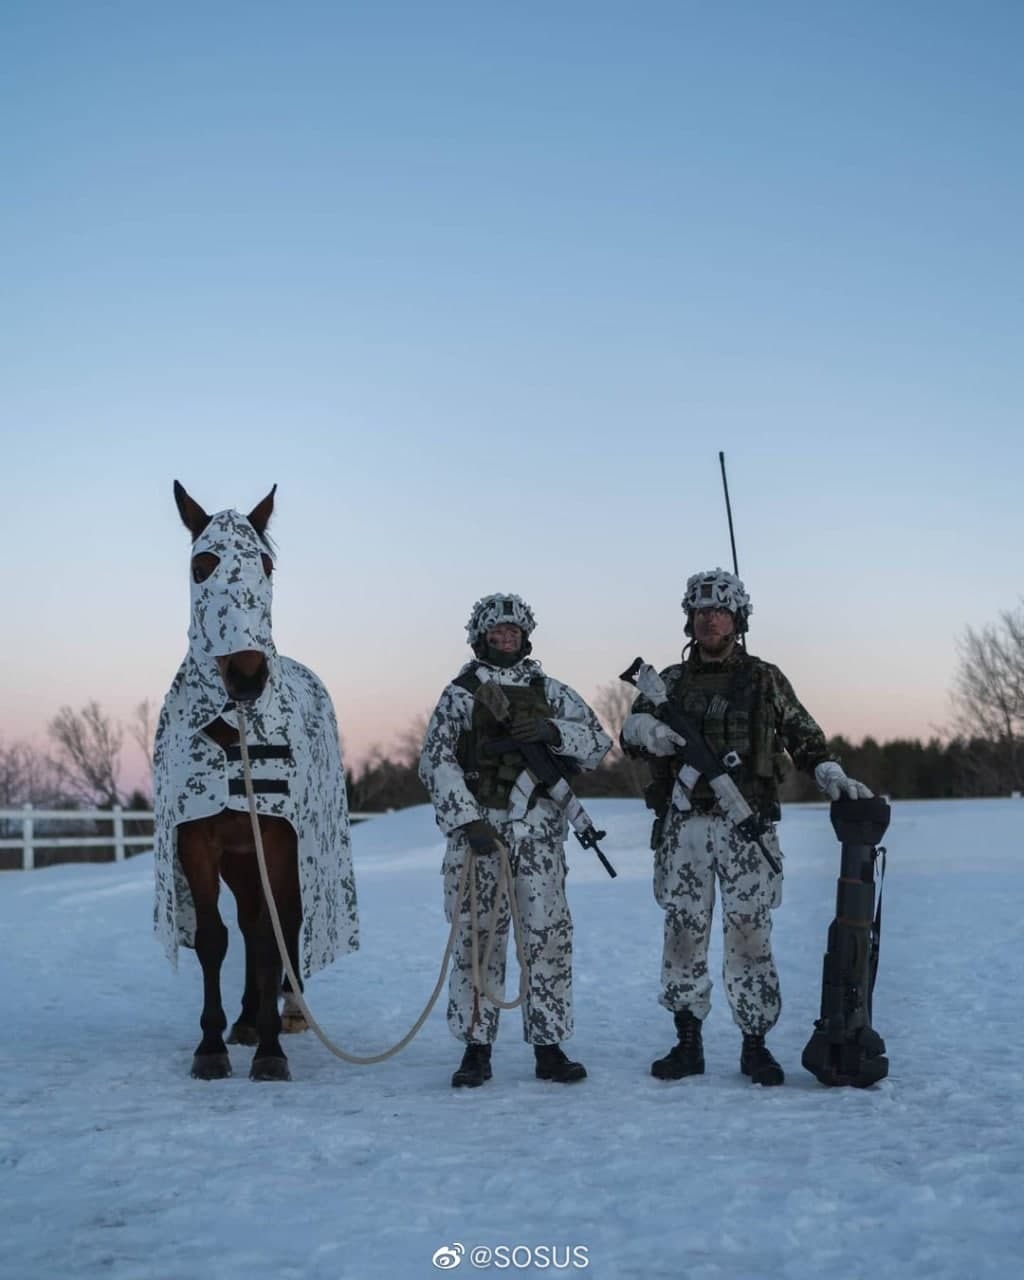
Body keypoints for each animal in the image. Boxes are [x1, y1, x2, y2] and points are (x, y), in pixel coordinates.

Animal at [152, 481, 358, 1080]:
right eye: (201, 564)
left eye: (265, 564)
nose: (246, 675)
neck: (233, 734)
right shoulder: (197, 840)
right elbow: (213, 938)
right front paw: (211, 1045)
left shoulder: (280, 839)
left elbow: (270, 939)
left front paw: (270, 1052)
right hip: (242, 861)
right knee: (245, 922)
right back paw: (245, 1020)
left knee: (283, 924)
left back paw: (284, 1013)